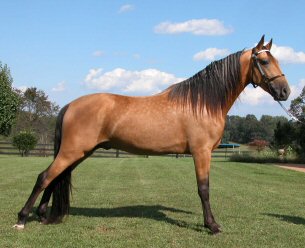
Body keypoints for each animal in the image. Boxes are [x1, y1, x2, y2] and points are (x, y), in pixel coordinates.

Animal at [13, 35, 290, 234]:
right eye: (265, 62)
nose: (285, 91)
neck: (202, 103)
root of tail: (70, 104)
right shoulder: (201, 153)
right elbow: (204, 189)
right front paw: (212, 225)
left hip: (79, 152)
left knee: (54, 178)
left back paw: (42, 215)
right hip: (73, 151)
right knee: (44, 177)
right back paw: (22, 219)